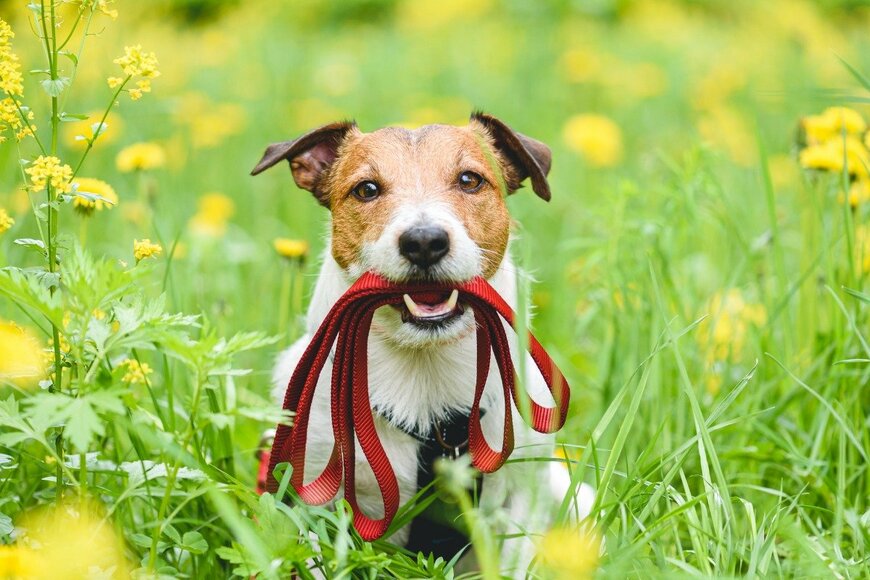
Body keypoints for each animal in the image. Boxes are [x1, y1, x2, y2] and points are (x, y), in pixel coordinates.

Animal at [252, 113, 592, 576]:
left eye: (469, 180)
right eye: (366, 189)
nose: (425, 241)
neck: (423, 370)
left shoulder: (521, 495)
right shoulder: (312, 495)